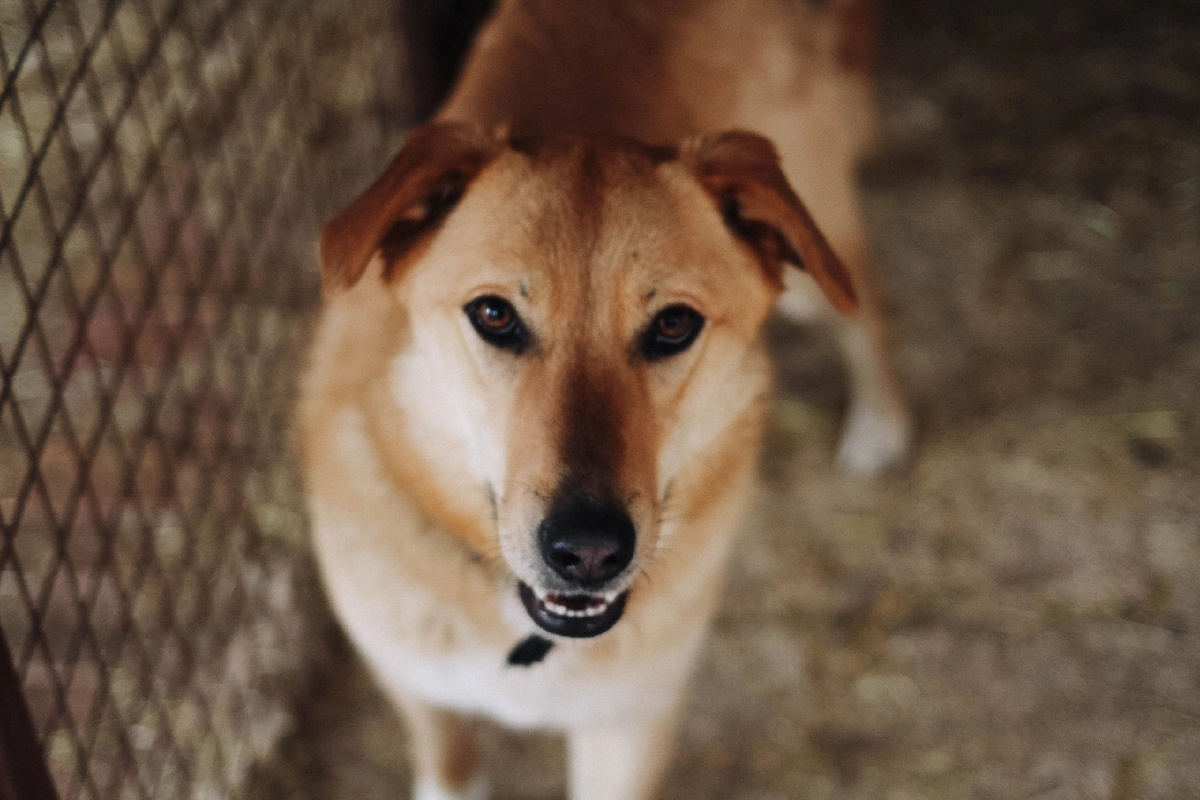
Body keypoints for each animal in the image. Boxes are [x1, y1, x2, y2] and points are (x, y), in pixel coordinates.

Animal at [302, 3, 907, 796]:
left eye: (674, 324)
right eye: (493, 315)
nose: (587, 553)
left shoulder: (629, 723)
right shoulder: (421, 693)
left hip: (818, 262)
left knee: (864, 310)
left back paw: (880, 426)